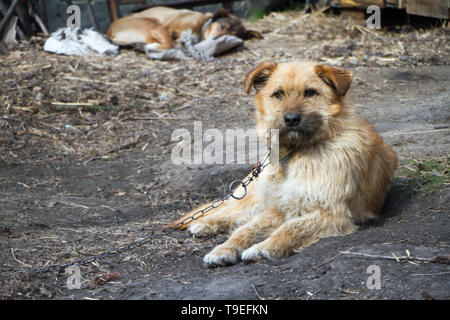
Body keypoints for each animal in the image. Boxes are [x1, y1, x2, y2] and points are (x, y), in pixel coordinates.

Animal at [107, 6, 262, 49]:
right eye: (222, 26)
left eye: (233, 35)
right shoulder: (160, 29)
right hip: (151, 23)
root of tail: (109, 31)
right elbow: (169, 42)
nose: (215, 40)